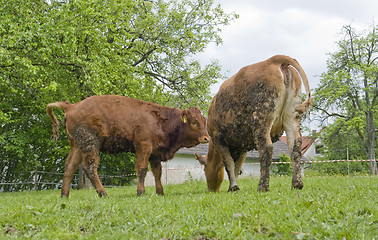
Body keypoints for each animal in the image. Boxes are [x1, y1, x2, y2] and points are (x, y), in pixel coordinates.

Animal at [47, 94, 210, 198]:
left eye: (204, 120)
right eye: (193, 122)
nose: (206, 138)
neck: (161, 121)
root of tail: (72, 106)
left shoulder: (155, 153)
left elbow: (157, 172)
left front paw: (160, 192)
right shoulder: (144, 147)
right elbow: (142, 170)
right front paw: (141, 192)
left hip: (77, 146)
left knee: (70, 166)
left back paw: (64, 195)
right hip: (91, 145)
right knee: (90, 168)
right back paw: (103, 193)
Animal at [195, 55, 310, 192]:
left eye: (205, 170)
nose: (211, 189)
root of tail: (275, 59)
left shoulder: (218, 138)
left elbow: (229, 164)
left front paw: (233, 187)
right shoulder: (243, 145)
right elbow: (237, 166)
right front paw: (234, 186)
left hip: (261, 116)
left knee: (266, 148)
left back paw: (262, 186)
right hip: (292, 117)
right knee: (295, 147)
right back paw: (297, 184)